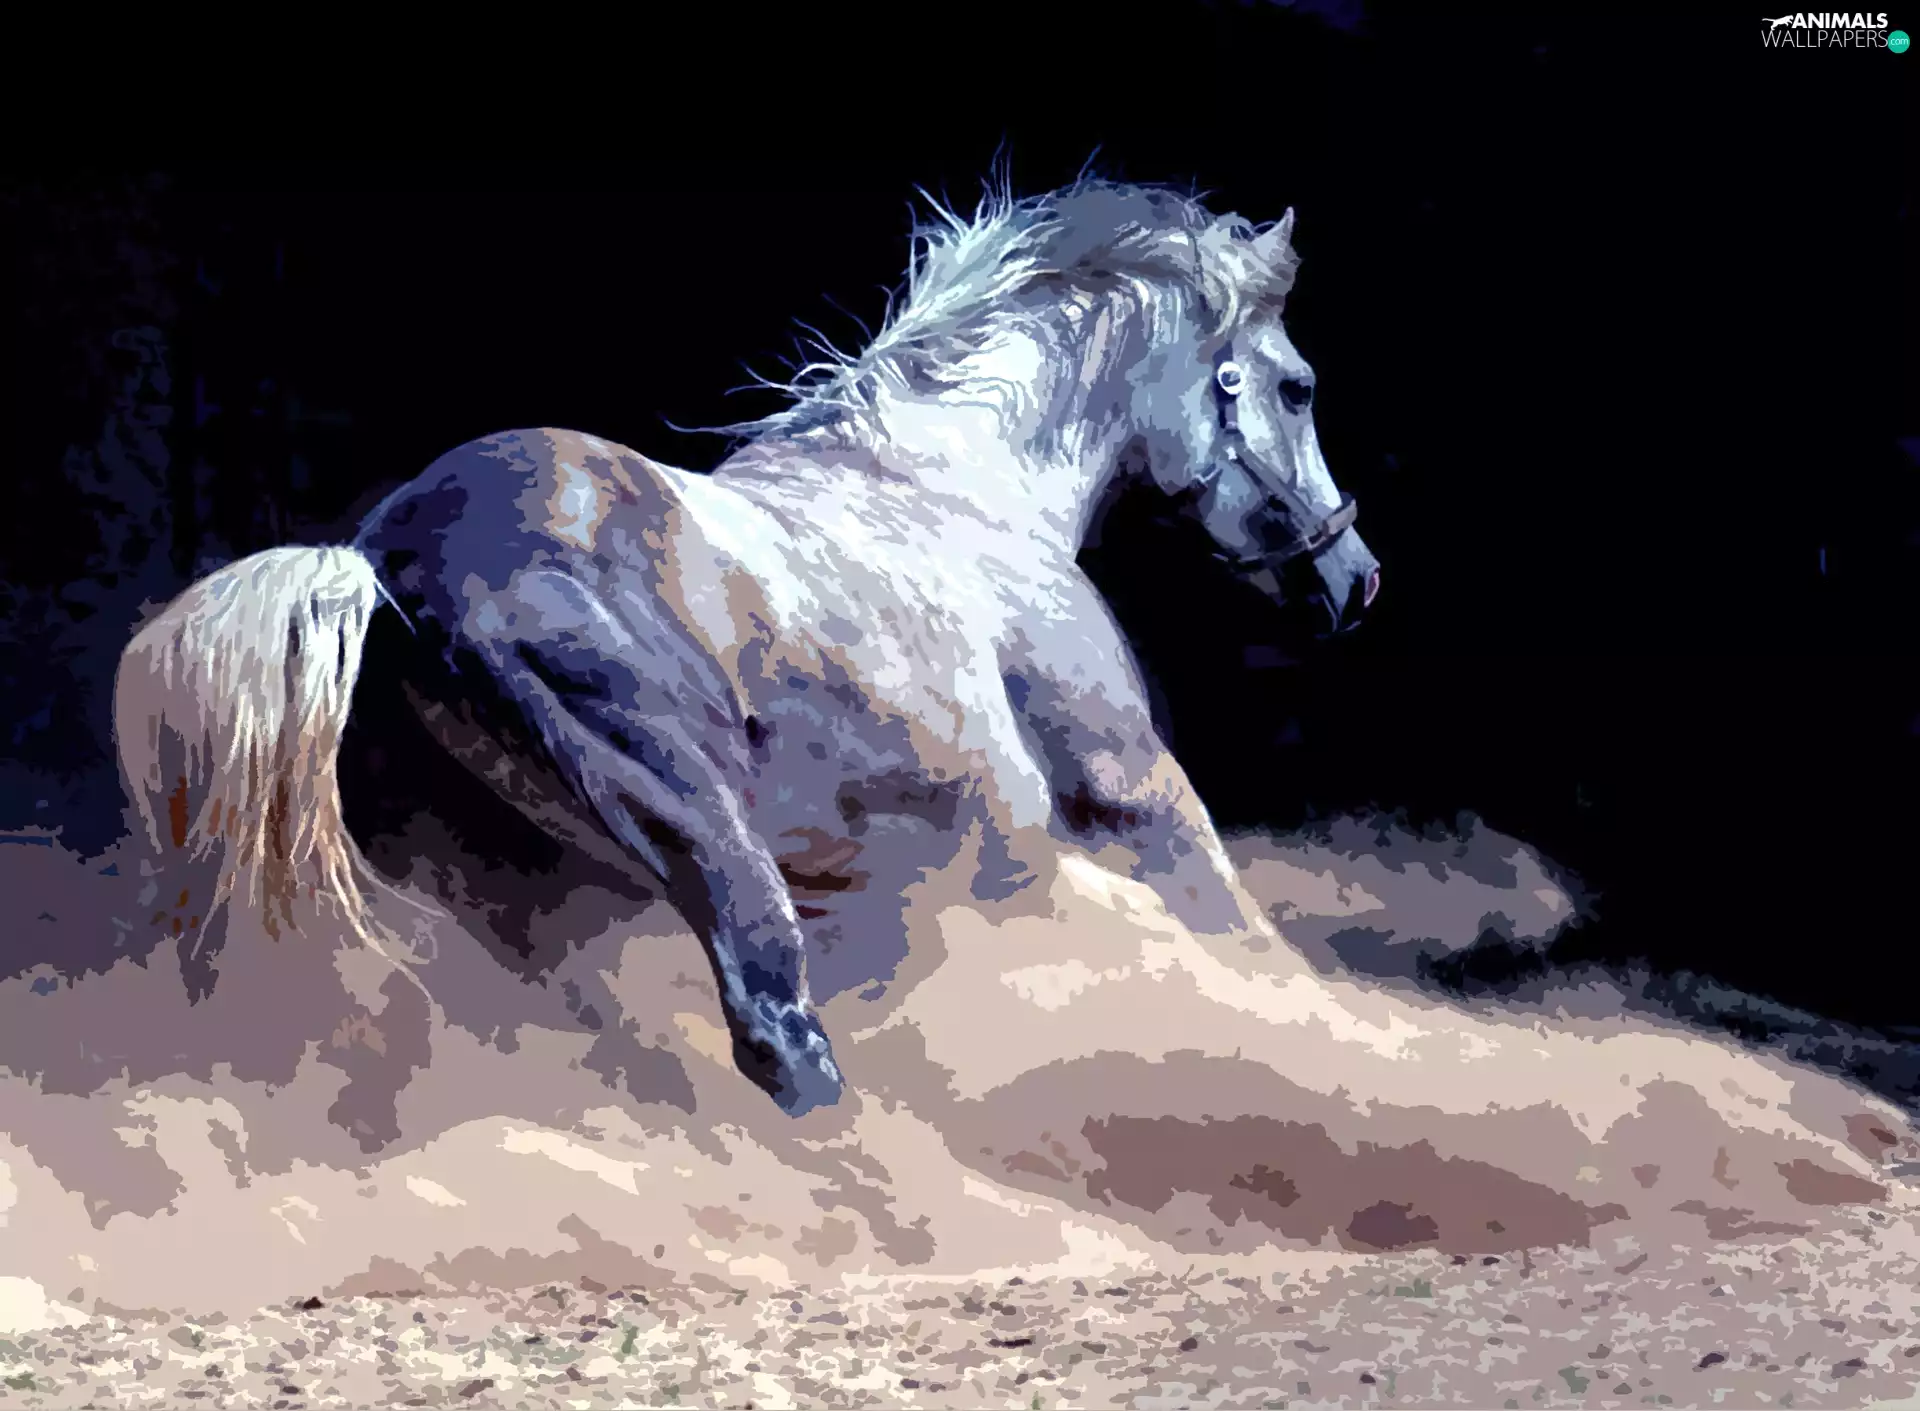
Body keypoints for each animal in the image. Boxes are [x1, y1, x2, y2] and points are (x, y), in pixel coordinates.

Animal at [111, 176, 1381, 1121]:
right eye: (1297, 386)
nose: (1353, 576)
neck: (961, 492)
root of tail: (385, 561)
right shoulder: (1123, 800)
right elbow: (1247, 943)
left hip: (515, 883)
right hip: (683, 809)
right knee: (778, 1032)